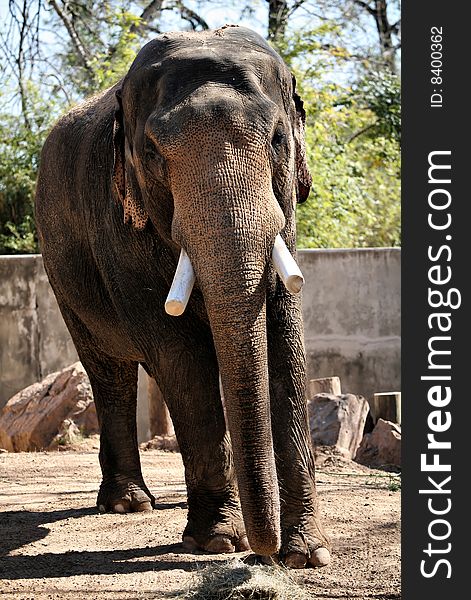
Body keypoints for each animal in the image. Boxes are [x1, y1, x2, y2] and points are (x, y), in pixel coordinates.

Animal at [35, 24, 330, 568]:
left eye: (278, 139)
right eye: (153, 153)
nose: (264, 554)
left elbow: (287, 342)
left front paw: (307, 554)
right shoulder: (118, 225)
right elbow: (180, 355)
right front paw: (219, 543)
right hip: (61, 273)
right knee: (110, 371)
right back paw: (129, 504)